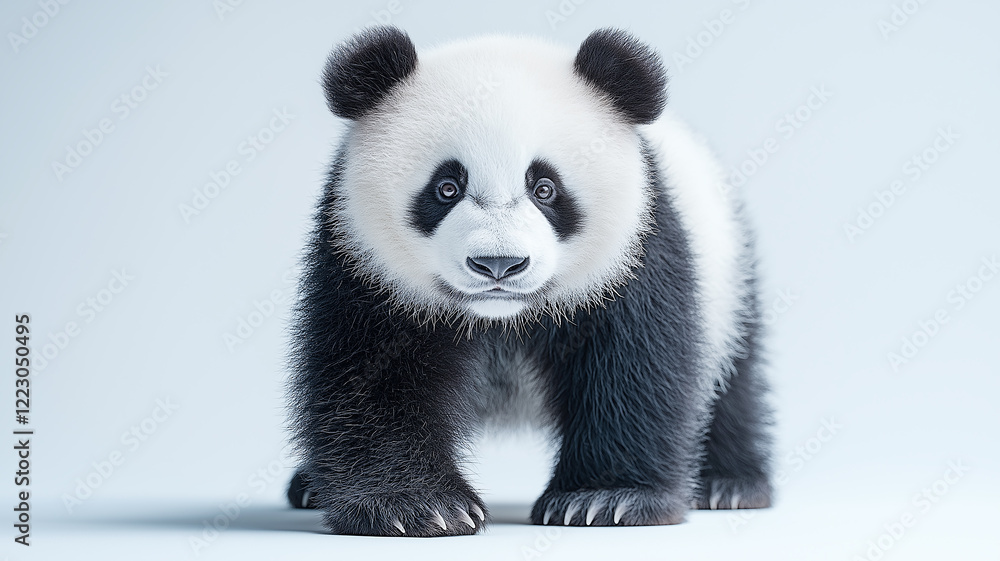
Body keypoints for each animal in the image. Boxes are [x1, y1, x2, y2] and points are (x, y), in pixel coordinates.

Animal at [286, 26, 772, 537]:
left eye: (544, 188)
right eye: (447, 188)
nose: (499, 264)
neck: (501, 317)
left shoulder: (635, 251)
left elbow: (635, 364)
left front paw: (604, 499)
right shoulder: (363, 261)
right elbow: (367, 373)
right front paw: (418, 506)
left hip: (730, 280)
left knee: (730, 383)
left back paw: (728, 485)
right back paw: (310, 486)